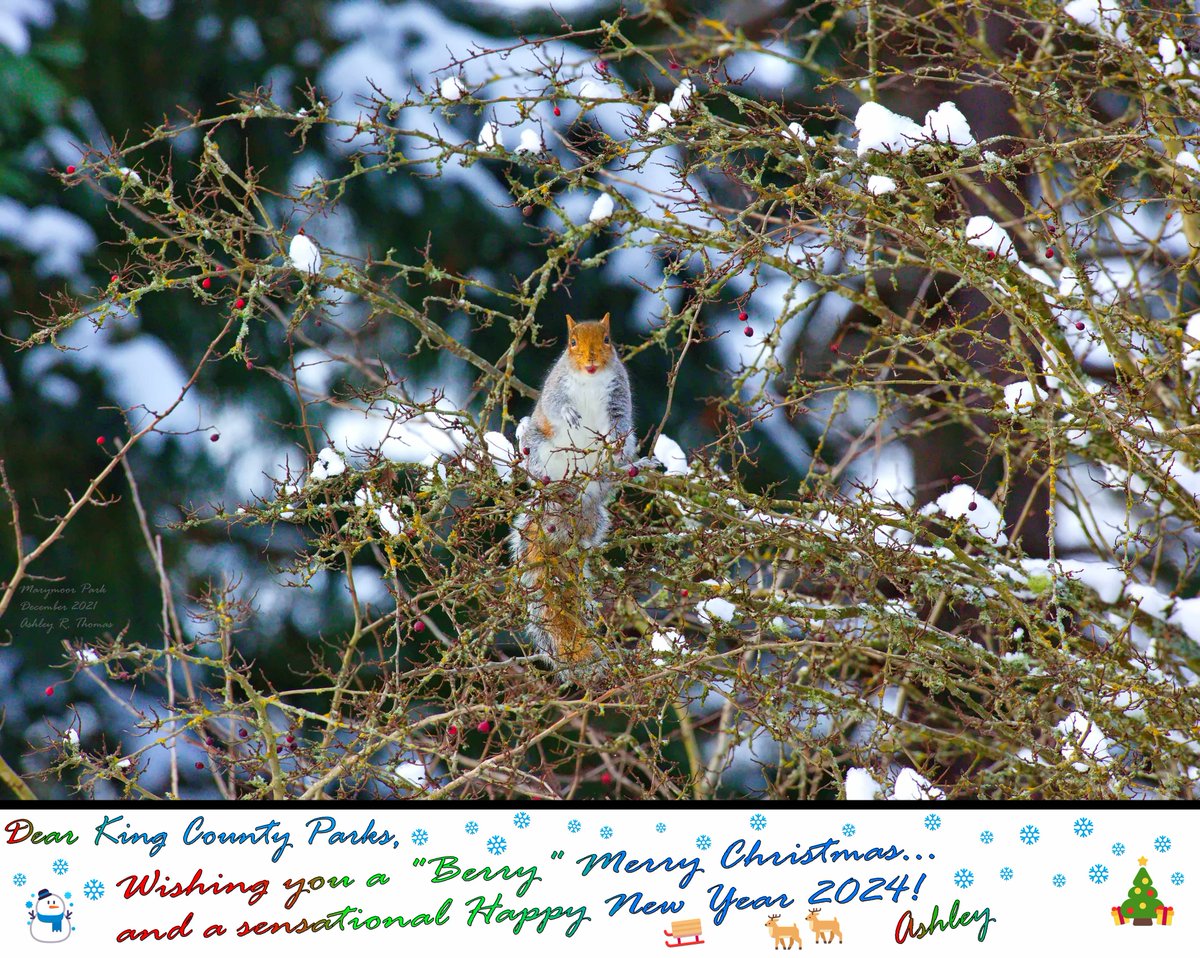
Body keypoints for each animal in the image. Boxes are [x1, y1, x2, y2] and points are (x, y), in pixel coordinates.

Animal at [508, 313, 637, 673]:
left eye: (607, 340)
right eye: (572, 343)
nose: (591, 360)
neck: (590, 380)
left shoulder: (619, 393)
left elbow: (621, 419)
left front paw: (616, 436)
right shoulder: (556, 386)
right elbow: (556, 404)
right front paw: (568, 413)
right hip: (538, 448)